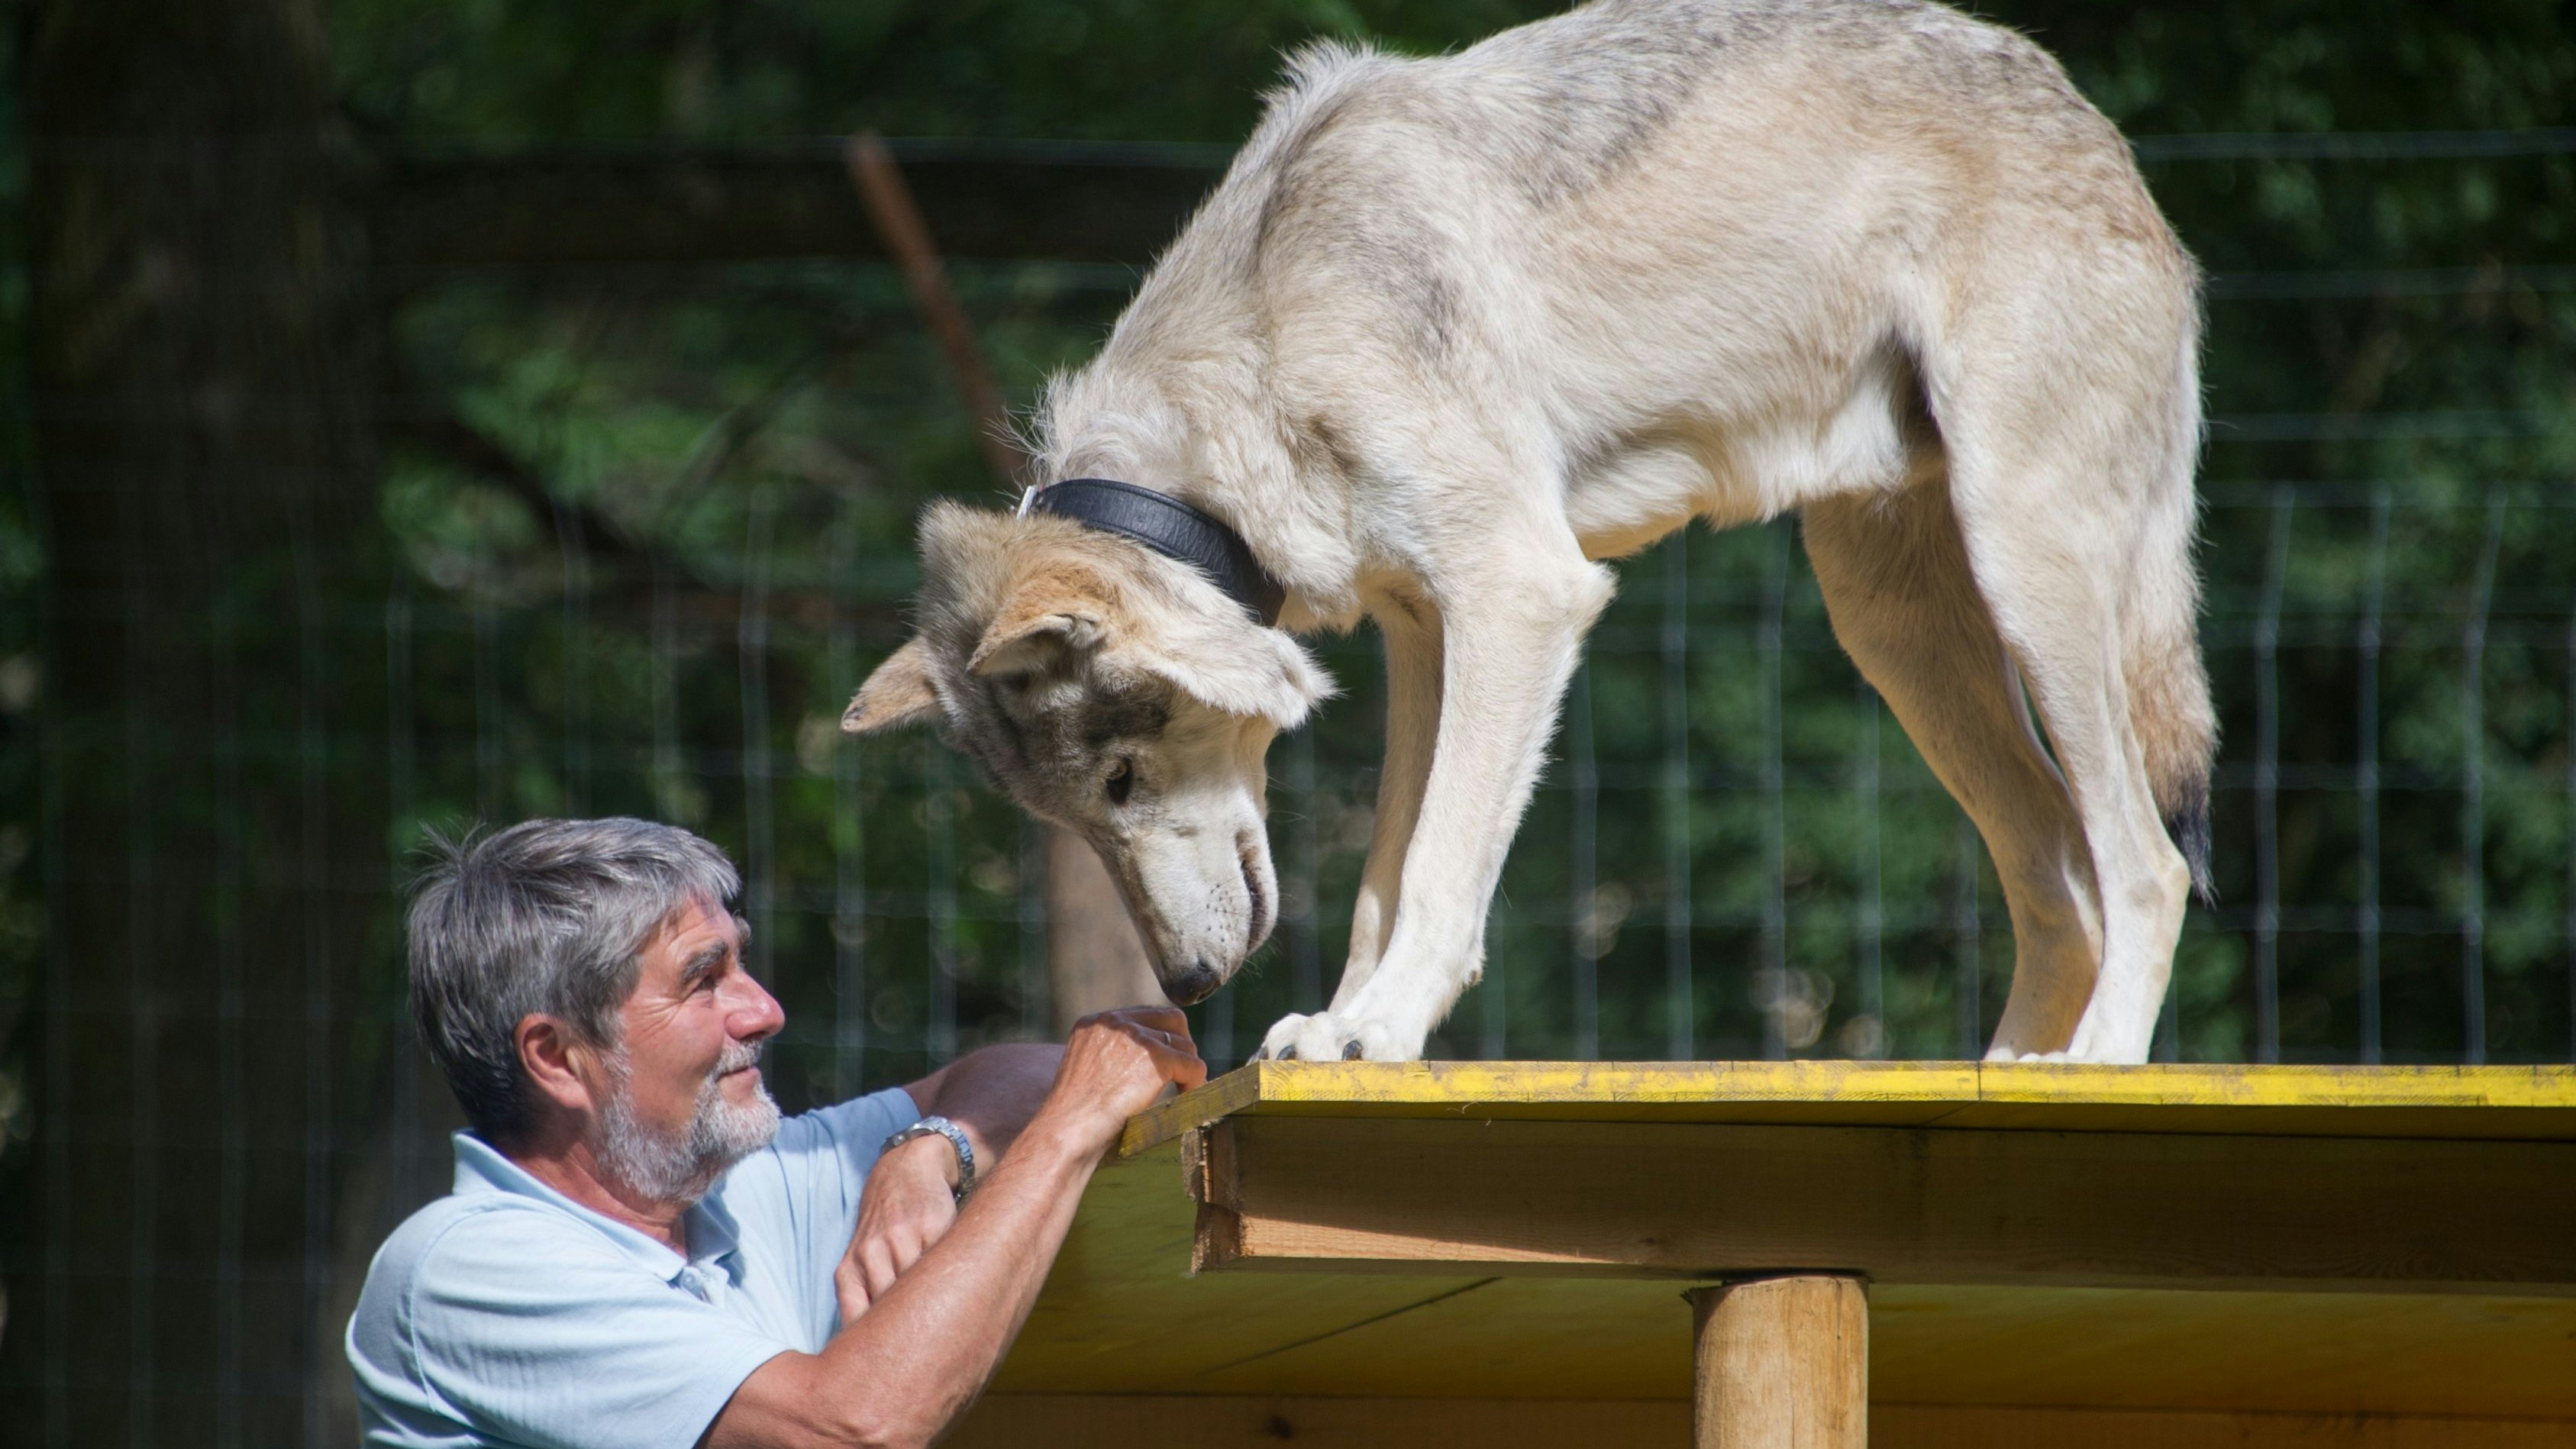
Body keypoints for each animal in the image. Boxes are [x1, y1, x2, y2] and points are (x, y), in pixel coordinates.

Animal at [844, 0, 2215, 1065]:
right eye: (1077, 820)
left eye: (1123, 781)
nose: (1185, 988)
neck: (1270, 327)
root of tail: (2095, 127)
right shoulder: (1419, 633)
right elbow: (1381, 873)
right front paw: (1338, 1026)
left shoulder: (1520, 592)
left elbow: (1438, 868)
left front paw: (1380, 1027)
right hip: (1894, 635)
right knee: (2060, 878)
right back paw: (2007, 1075)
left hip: (2021, 571)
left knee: (2144, 863)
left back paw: (2093, 1067)